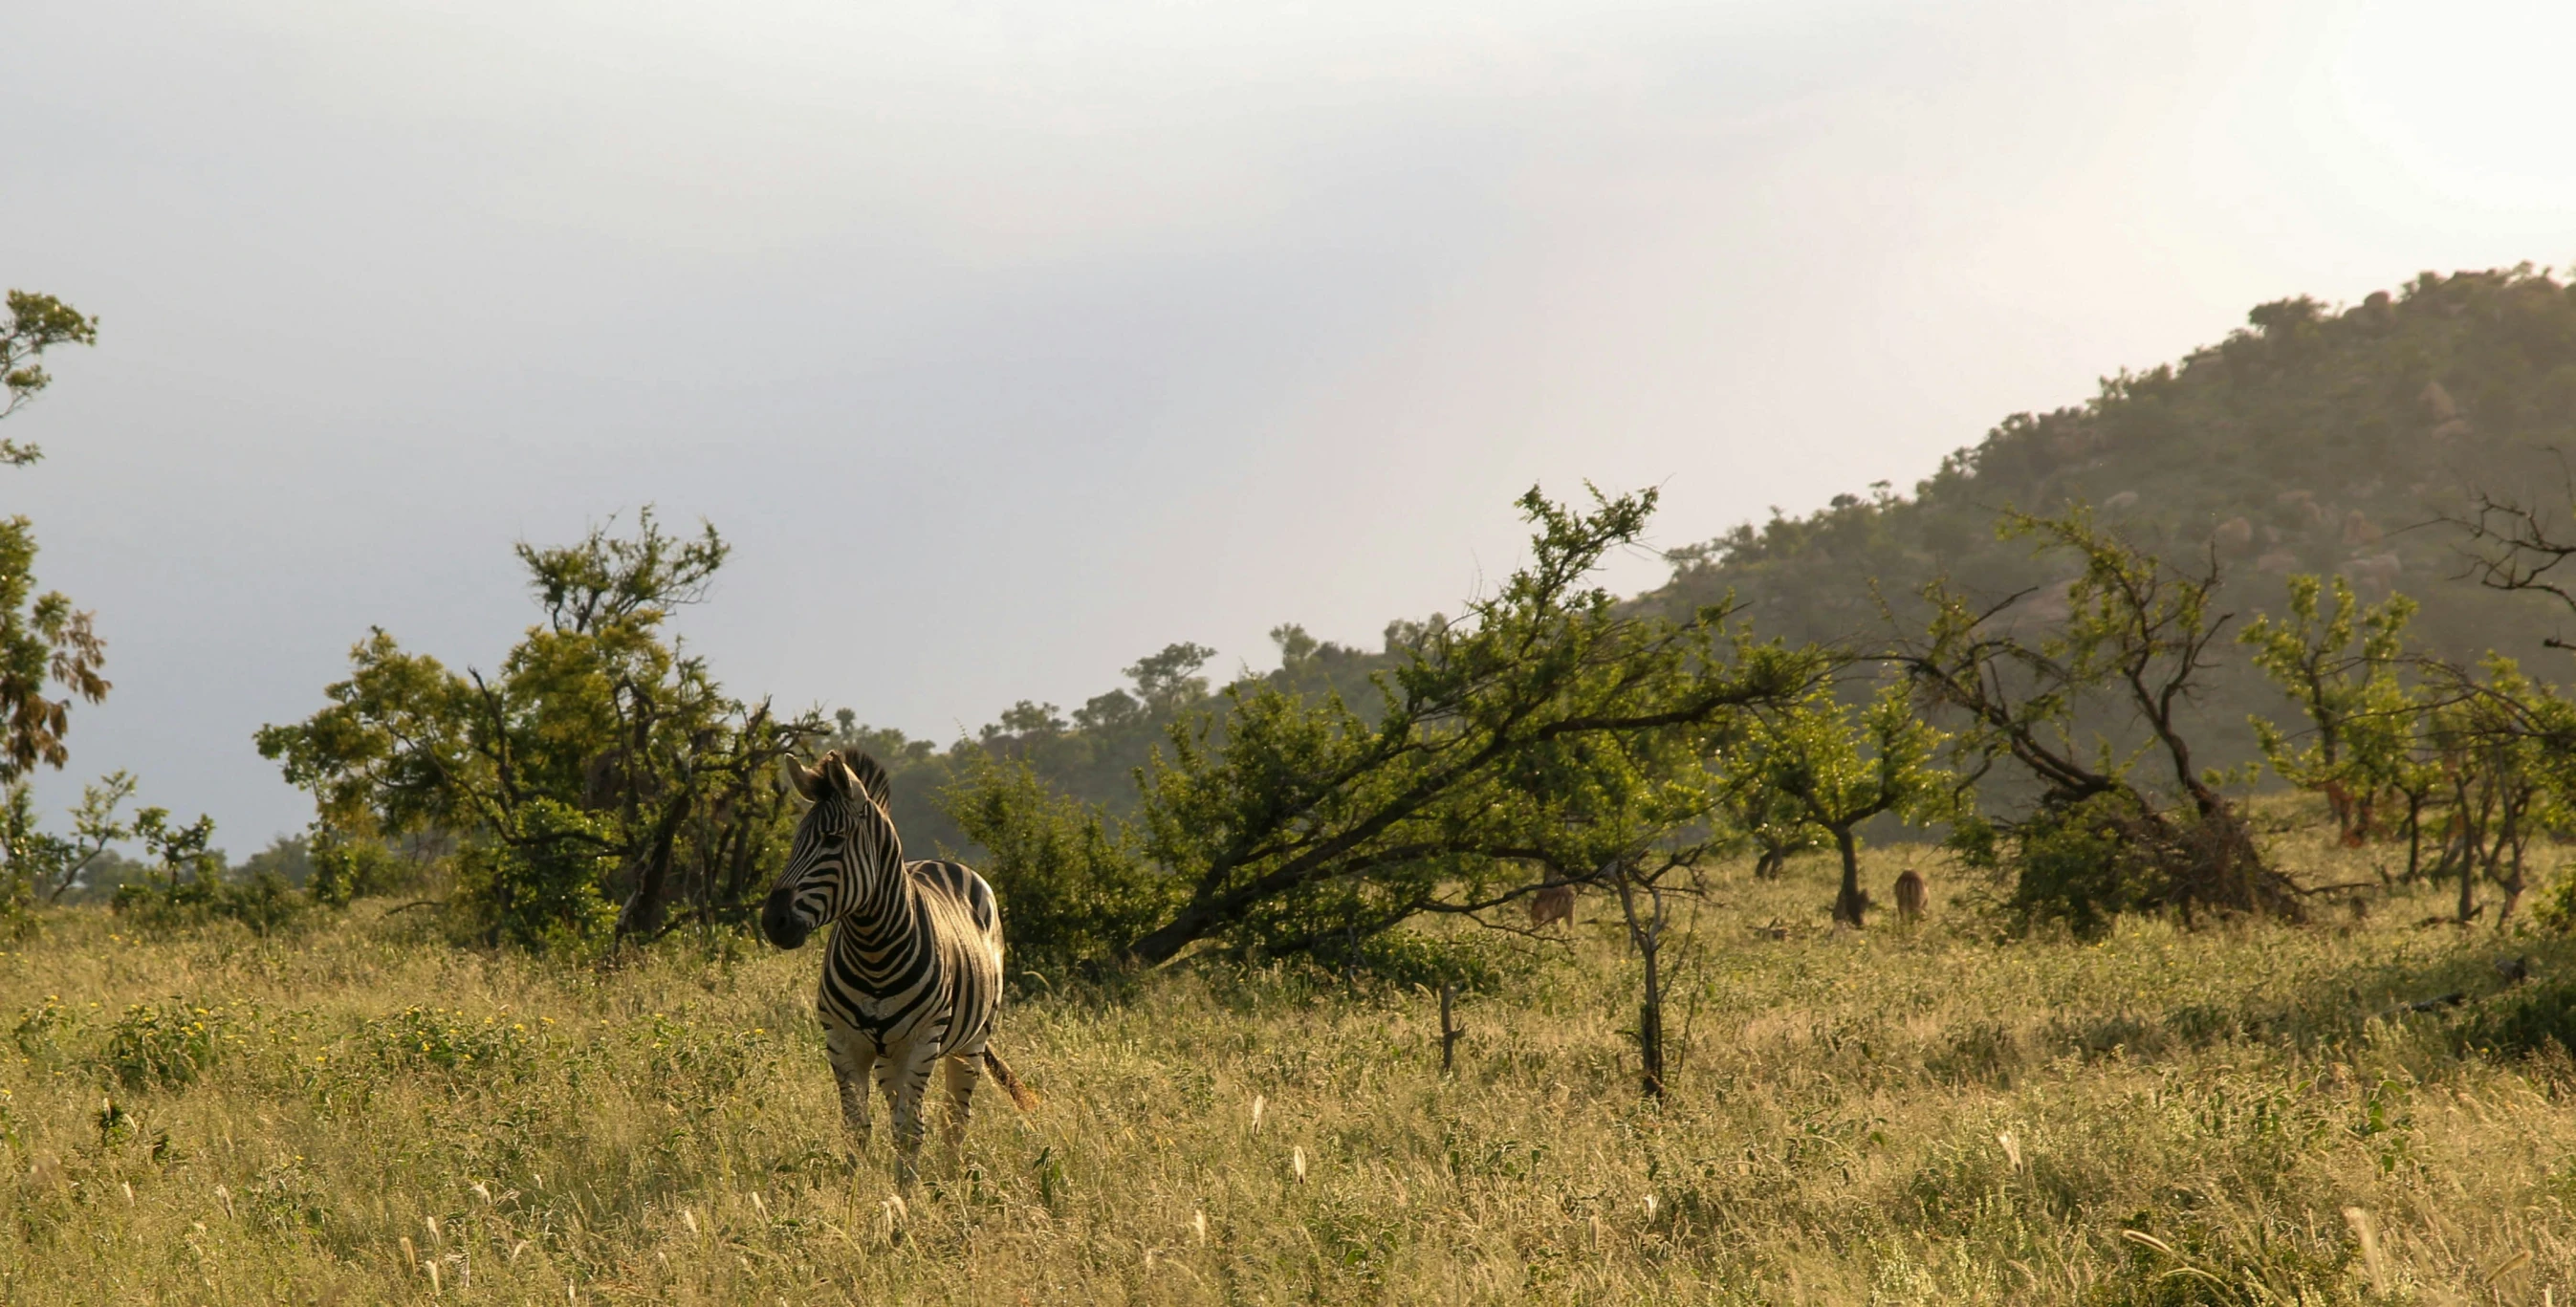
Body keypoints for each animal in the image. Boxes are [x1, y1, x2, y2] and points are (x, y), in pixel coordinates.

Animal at [757, 747, 1040, 1186]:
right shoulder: (842, 1041)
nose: (773, 921)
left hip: (972, 1039)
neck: (873, 949)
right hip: (888, 1054)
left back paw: (951, 1181)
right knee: (902, 1110)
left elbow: (911, 1129)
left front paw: (905, 1195)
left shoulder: (923, 1041)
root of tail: (940, 862)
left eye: (833, 840)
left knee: (954, 1118)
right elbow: (856, 1127)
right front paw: (853, 1195)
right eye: (794, 841)